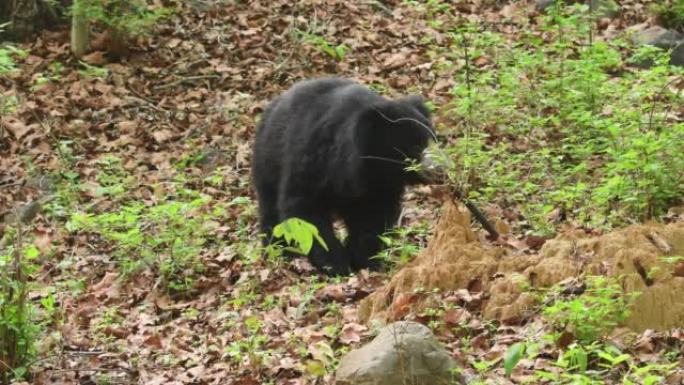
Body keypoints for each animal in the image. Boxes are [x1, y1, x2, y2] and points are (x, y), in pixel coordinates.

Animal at [250, 78, 432, 274]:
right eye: (415, 146)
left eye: (434, 140)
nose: (439, 169)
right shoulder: (312, 159)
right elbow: (304, 210)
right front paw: (336, 264)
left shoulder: (379, 187)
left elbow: (373, 217)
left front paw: (366, 260)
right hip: (268, 159)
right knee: (270, 208)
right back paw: (277, 251)